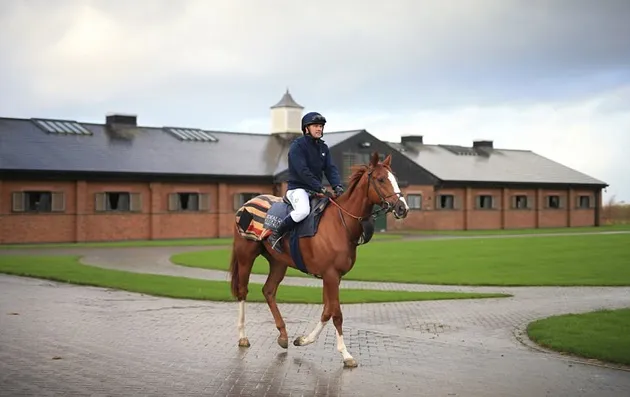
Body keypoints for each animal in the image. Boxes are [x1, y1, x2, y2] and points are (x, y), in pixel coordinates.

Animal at [227, 150, 410, 366]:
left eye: (395, 179)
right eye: (381, 179)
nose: (402, 208)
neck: (340, 223)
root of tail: (246, 204)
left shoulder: (333, 276)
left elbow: (327, 311)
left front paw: (304, 339)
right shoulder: (330, 275)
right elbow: (336, 313)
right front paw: (346, 354)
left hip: (278, 262)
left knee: (268, 291)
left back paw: (283, 335)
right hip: (246, 257)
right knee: (242, 291)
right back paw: (242, 336)